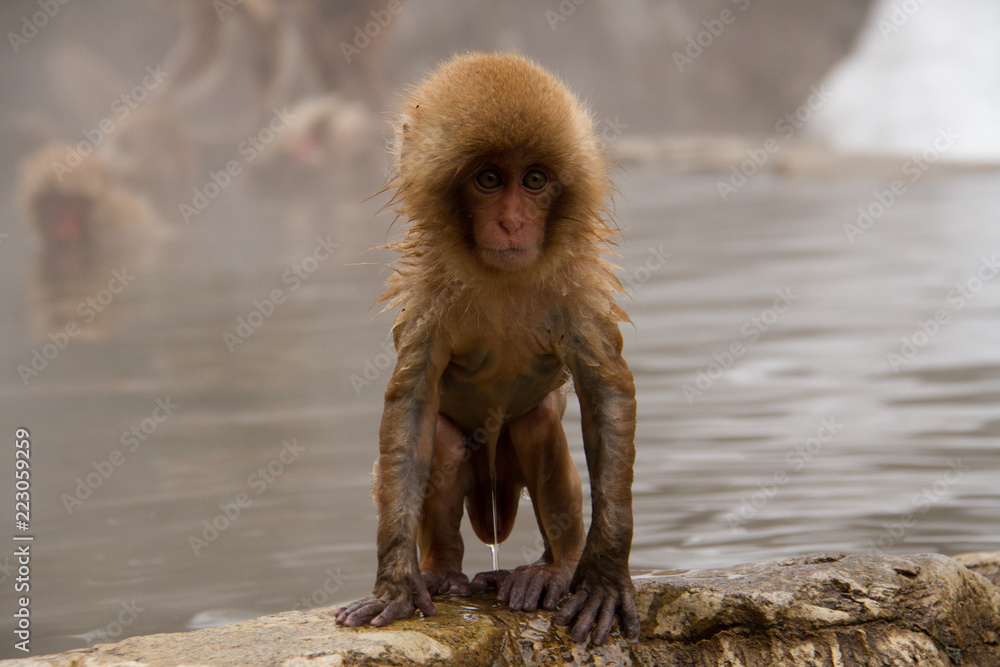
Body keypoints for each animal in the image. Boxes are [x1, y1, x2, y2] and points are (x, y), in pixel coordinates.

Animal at [335, 52, 638, 646]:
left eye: (536, 180)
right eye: (490, 180)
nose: (513, 222)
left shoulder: (577, 291)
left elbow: (605, 392)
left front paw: (604, 575)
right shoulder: (428, 299)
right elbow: (411, 408)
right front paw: (397, 583)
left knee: (537, 426)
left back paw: (554, 569)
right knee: (445, 442)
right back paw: (444, 571)